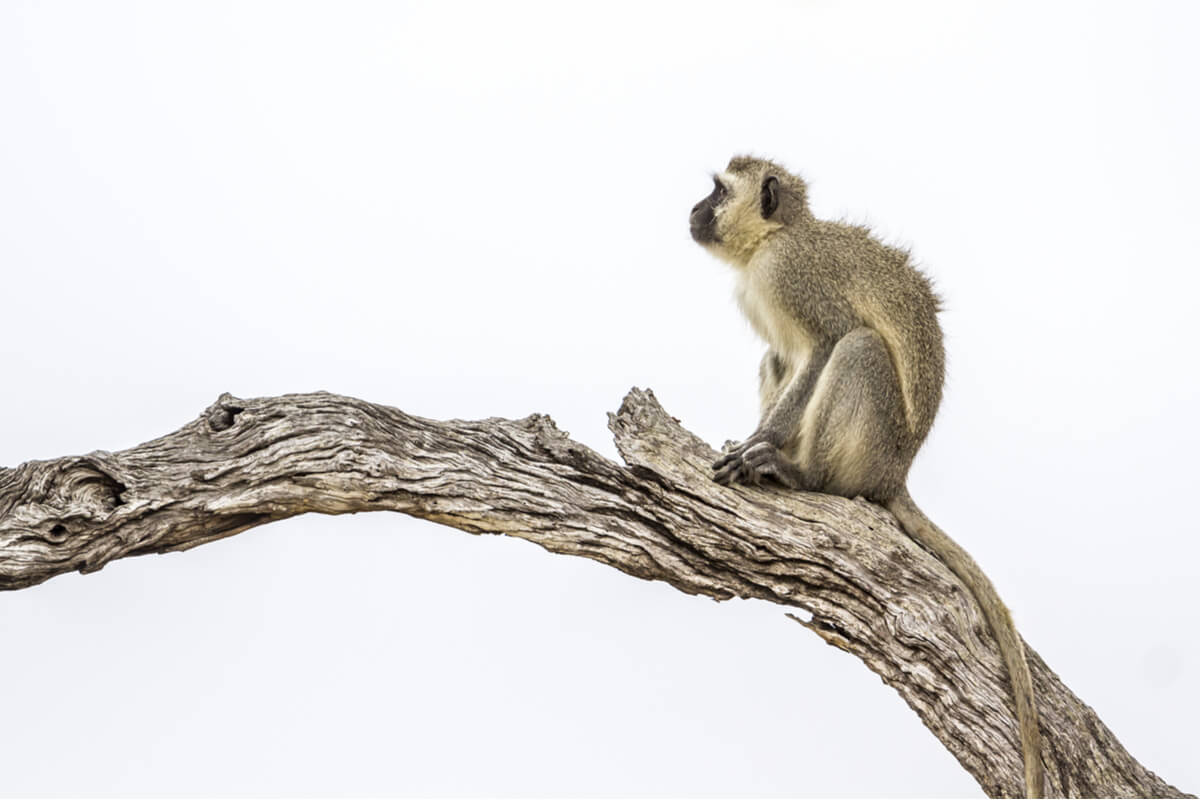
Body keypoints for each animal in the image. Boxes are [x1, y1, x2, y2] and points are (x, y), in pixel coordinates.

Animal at [691, 153, 1046, 796]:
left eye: (718, 192)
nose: (693, 210)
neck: (773, 238)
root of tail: (893, 476)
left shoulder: (792, 274)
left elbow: (827, 341)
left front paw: (759, 448)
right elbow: (783, 358)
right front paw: (750, 439)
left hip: (873, 444)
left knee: (859, 347)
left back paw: (800, 473)